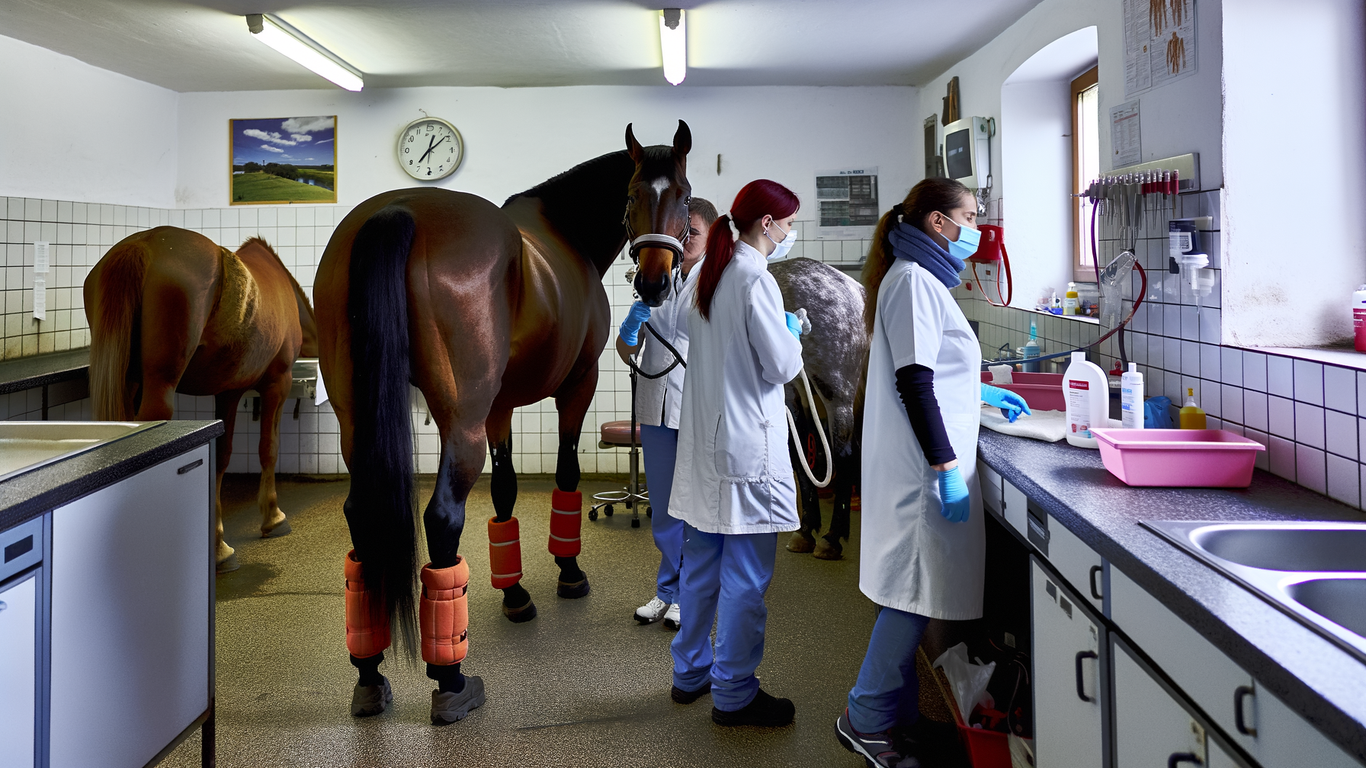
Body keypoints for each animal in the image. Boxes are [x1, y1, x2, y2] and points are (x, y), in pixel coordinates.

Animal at [84, 226, 319, 573]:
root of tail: (142, 245)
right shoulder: (278, 383)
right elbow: (268, 449)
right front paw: (273, 516)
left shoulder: (229, 392)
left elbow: (221, 456)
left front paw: (219, 546)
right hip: (160, 385)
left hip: (128, 381)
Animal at [313, 122, 692, 719]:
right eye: (633, 195)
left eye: (682, 195)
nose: (654, 283)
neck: (563, 231)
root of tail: (397, 211)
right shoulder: (576, 385)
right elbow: (565, 474)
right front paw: (569, 573)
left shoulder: (500, 406)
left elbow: (507, 491)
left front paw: (514, 592)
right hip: (461, 423)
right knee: (443, 517)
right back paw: (451, 680)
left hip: (360, 421)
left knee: (362, 516)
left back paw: (370, 673)